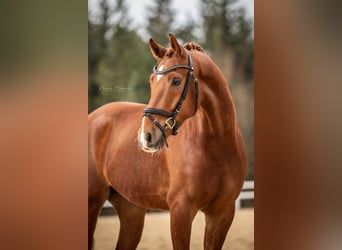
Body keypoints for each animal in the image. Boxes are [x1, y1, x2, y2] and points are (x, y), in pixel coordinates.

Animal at [88, 33, 247, 250]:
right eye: (151, 81)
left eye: (176, 81)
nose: (146, 137)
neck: (217, 144)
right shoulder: (180, 211)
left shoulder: (222, 214)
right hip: (92, 203)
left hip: (132, 210)